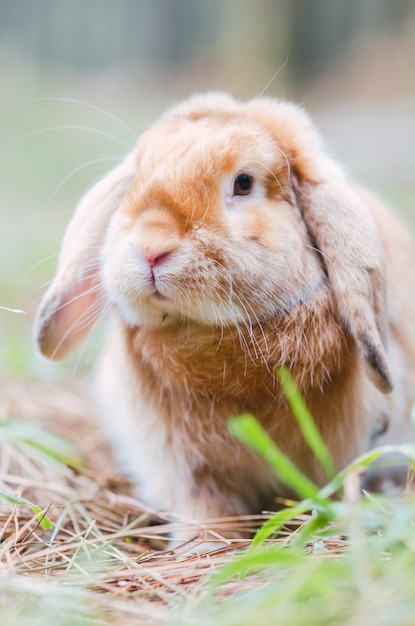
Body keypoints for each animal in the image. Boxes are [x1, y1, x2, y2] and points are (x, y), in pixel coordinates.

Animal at [35, 92, 415, 544]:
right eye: (135, 181)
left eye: (244, 183)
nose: (151, 246)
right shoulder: (189, 470)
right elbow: (207, 510)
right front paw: (200, 545)